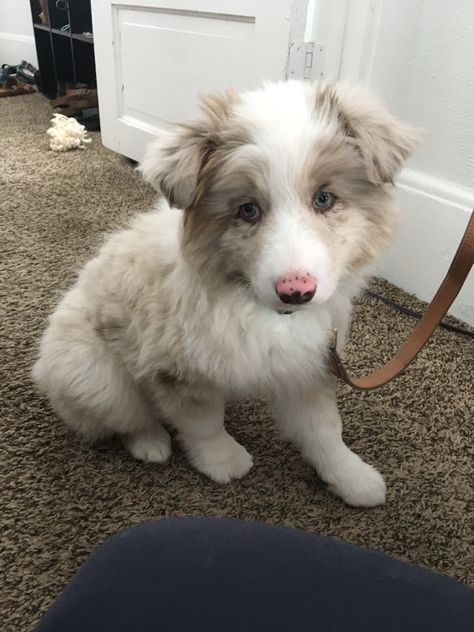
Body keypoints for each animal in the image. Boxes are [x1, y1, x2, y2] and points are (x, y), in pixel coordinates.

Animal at [33, 79, 416, 506]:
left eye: (324, 198)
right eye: (247, 210)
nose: (296, 292)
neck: (252, 302)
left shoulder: (308, 362)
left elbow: (323, 427)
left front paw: (352, 477)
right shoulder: (177, 370)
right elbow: (203, 423)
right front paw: (223, 462)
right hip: (94, 375)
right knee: (128, 414)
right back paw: (151, 443)